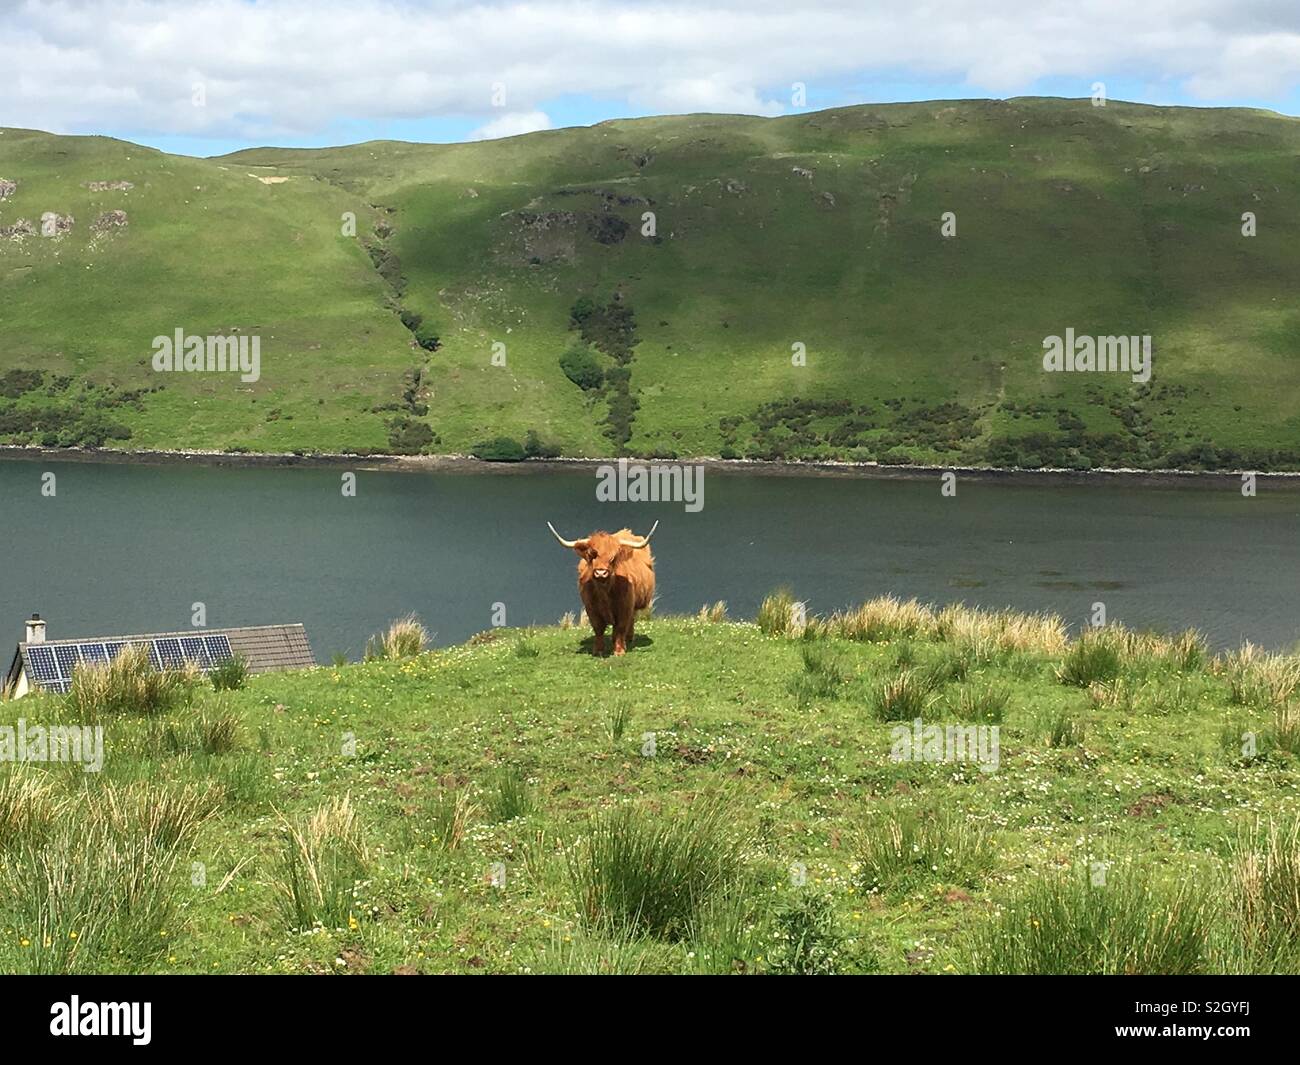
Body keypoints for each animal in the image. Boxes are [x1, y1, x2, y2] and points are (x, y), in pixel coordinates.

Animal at [547, 520, 658, 656]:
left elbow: (621, 627)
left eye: (613, 557)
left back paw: (628, 639)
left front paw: (619, 651)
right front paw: (598, 650)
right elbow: (598, 627)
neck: (604, 591)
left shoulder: (625, 606)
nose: (600, 573)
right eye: (592, 554)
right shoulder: (591, 608)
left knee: (630, 621)